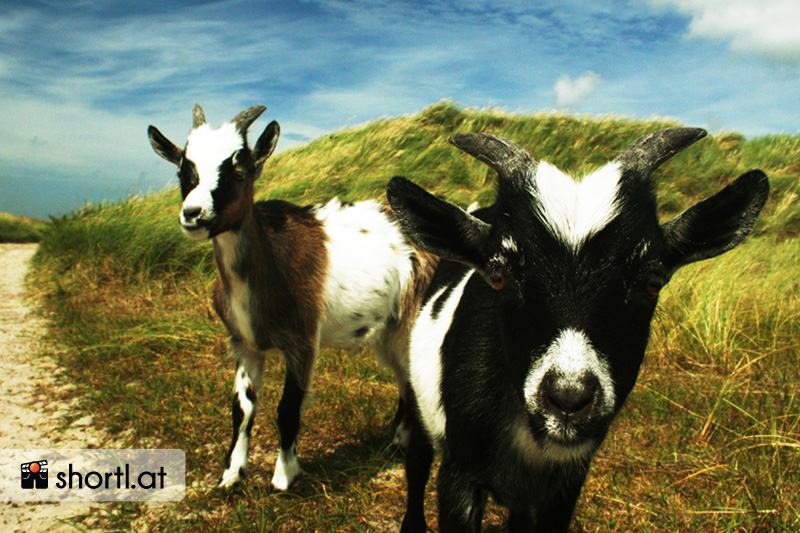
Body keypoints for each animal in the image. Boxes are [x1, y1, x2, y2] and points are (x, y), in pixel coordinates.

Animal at [147, 105, 434, 490]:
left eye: (239, 172)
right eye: (183, 171)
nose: (192, 214)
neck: (269, 263)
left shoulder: (302, 341)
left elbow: (288, 407)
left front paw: (284, 477)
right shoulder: (244, 343)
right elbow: (242, 408)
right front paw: (231, 476)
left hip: (412, 316)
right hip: (389, 329)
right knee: (404, 376)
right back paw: (397, 440)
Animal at [388, 130, 768, 532]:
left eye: (652, 282)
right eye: (498, 276)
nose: (568, 399)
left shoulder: (566, 485)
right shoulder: (459, 476)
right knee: (417, 460)